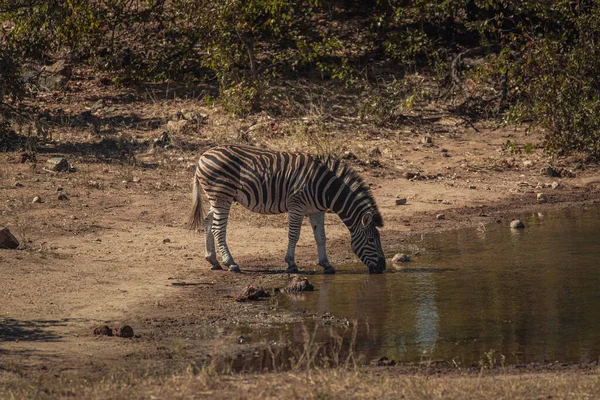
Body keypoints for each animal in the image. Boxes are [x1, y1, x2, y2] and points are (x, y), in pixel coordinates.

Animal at [186, 145, 384, 276]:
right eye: (371, 240)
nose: (383, 268)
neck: (325, 189)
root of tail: (203, 156)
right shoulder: (297, 206)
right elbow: (294, 236)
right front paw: (291, 263)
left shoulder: (316, 210)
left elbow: (321, 237)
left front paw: (326, 264)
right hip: (222, 196)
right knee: (218, 229)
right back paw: (231, 263)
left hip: (217, 198)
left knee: (208, 222)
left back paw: (213, 260)